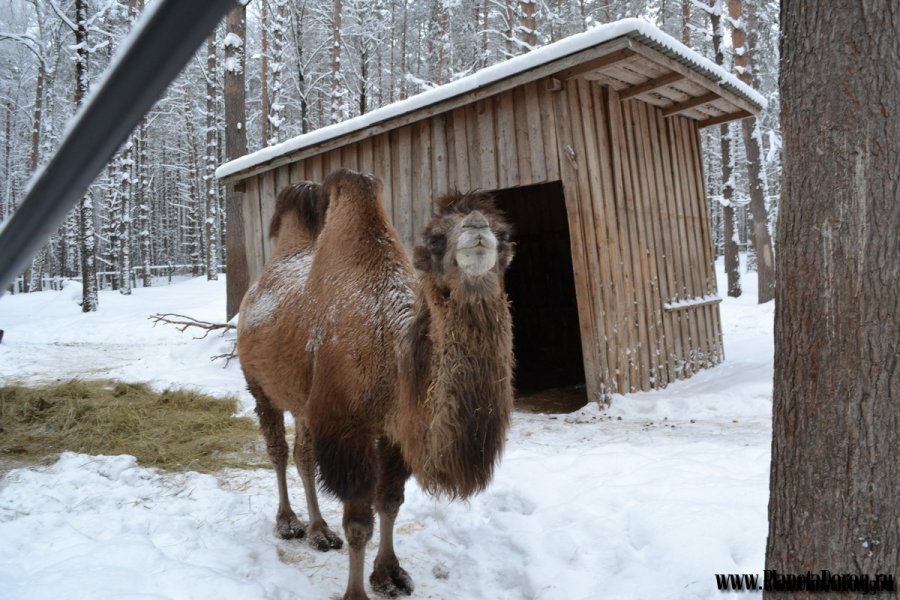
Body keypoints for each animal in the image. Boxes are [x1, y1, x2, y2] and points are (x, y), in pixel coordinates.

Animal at [236, 169, 516, 600]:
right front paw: (356, 592)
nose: (477, 230)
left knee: (303, 455)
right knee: (278, 451)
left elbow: (390, 503)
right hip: (260, 386)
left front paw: (389, 574)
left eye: (503, 233)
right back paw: (288, 523)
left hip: (305, 402)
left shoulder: (394, 430)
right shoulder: (349, 430)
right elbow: (359, 522)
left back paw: (319, 531)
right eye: (435, 237)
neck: (391, 356)